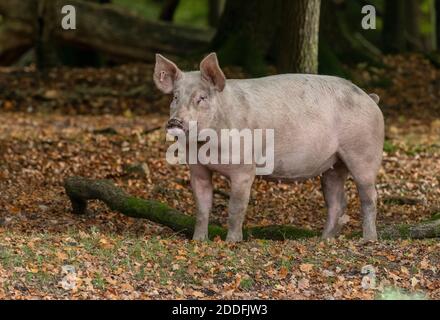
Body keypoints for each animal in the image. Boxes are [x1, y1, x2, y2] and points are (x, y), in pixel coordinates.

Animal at [155, 53, 384, 242]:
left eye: (201, 98)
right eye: (175, 97)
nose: (175, 122)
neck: (208, 147)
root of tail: (370, 98)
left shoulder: (244, 169)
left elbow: (235, 208)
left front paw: (232, 242)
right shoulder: (197, 169)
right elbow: (202, 208)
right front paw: (198, 241)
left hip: (363, 152)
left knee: (369, 196)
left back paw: (368, 239)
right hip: (334, 164)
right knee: (337, 201)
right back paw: (324, 239)